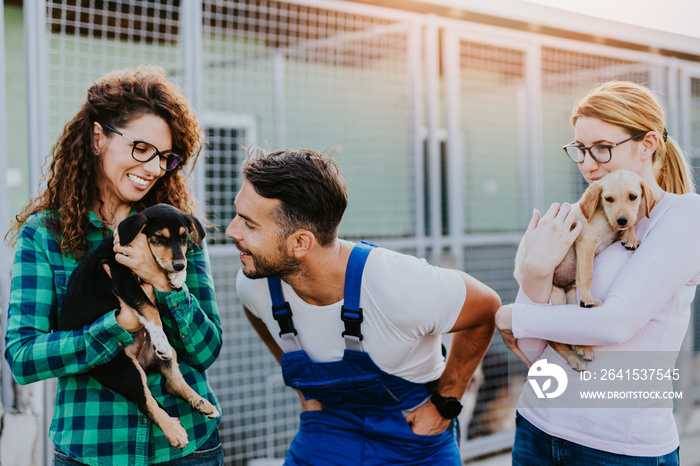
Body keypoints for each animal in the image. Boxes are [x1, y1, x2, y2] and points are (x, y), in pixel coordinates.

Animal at [59, 203, 220, 448]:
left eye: (184, 238)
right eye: (159, 238)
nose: (179, 264)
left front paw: (178, 277)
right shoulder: (122, 280)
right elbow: (151, 309)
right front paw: (159, 337)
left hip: (168, 356)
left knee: (172, 382)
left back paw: (201, 403)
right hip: (123, 365)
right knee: (145, 400)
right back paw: (174, 430)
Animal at [516, 169, 656, 370]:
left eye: (633, 197)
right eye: (609, 199)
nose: (621, 219)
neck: (605, 218)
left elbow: (629, 225)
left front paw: (630, 236)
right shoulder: (586, 242)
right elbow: (587, 273)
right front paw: (588, 299)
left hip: (569, 294)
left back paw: (583, 347)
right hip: (555, 295)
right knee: (554, 337)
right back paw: (574, 356)